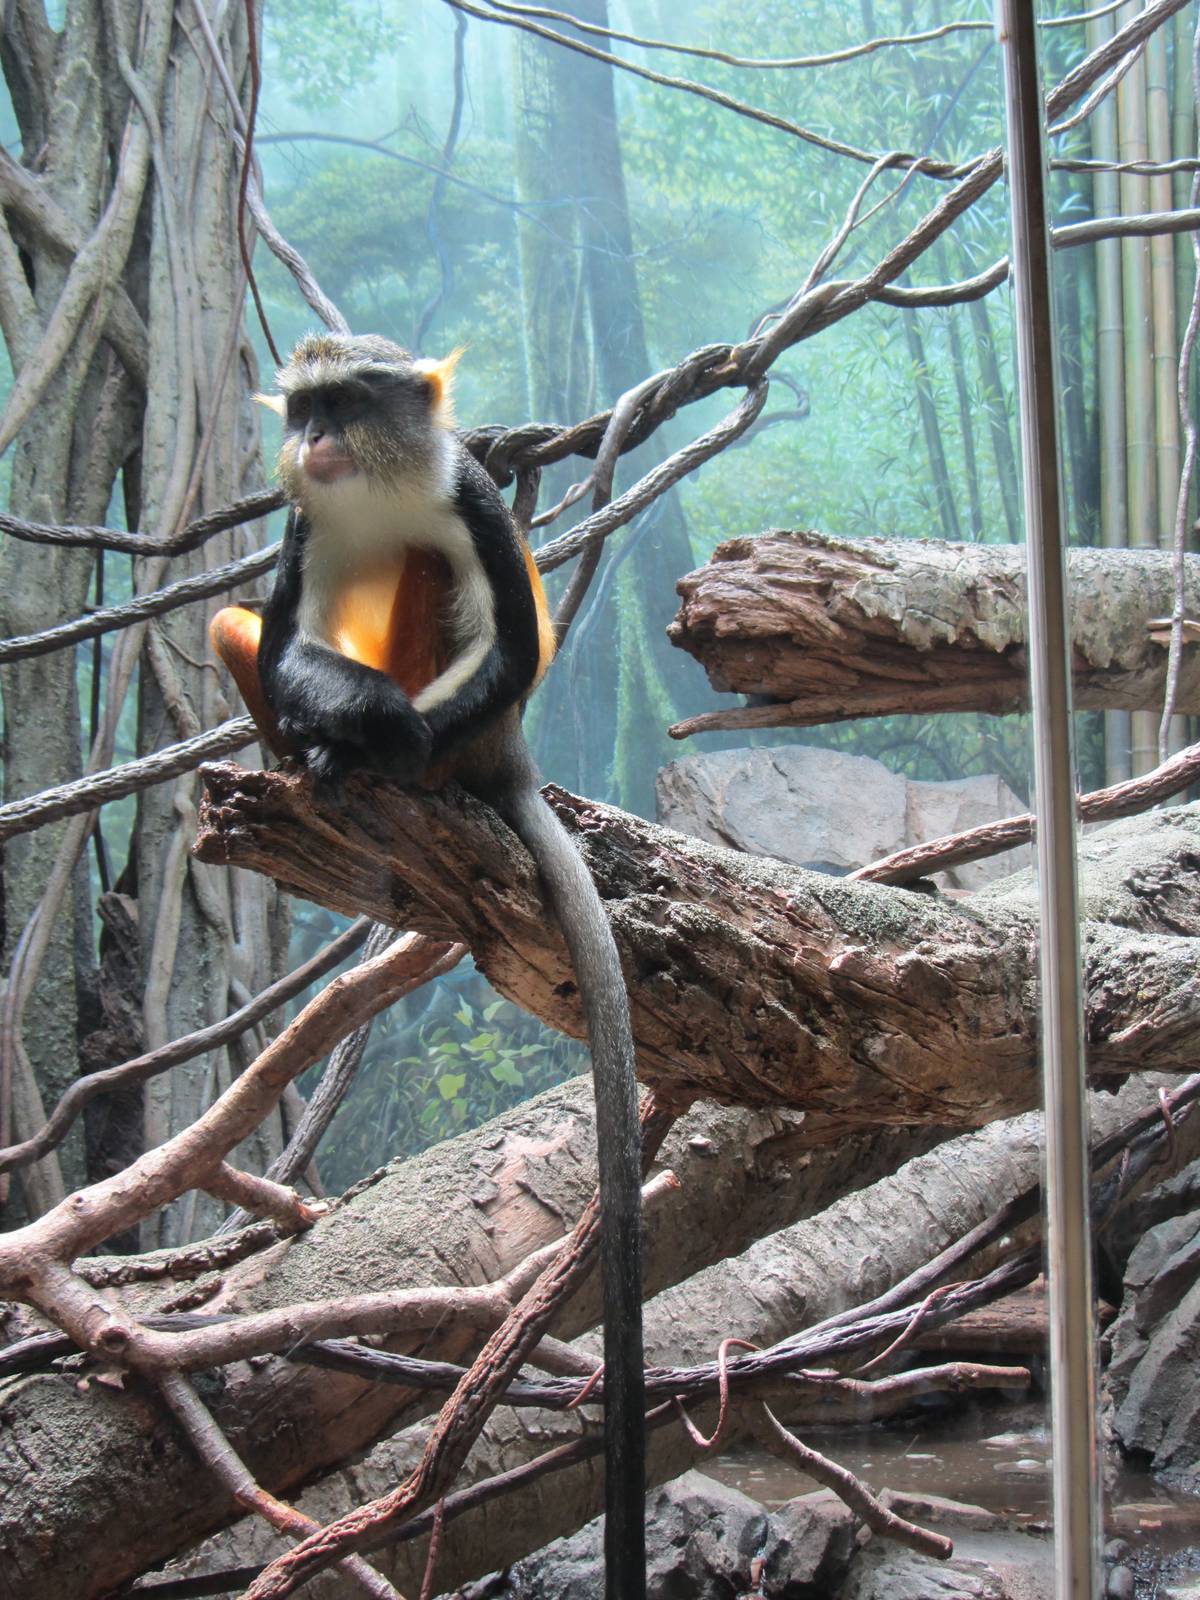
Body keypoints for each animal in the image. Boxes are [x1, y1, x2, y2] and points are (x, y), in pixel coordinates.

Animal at [210, 333, 645, 1599]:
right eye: (301, 409)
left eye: (348, 402)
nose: (313, 441)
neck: (372, 487)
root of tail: (511, 762)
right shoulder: (300, 531)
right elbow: (280, 639)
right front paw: (337, 719)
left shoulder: (472, 501)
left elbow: (513, 644)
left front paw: (385, 737)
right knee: (233, 635)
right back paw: (313, 750)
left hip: (478, 723)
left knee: (434, 610)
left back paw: (395, 762)